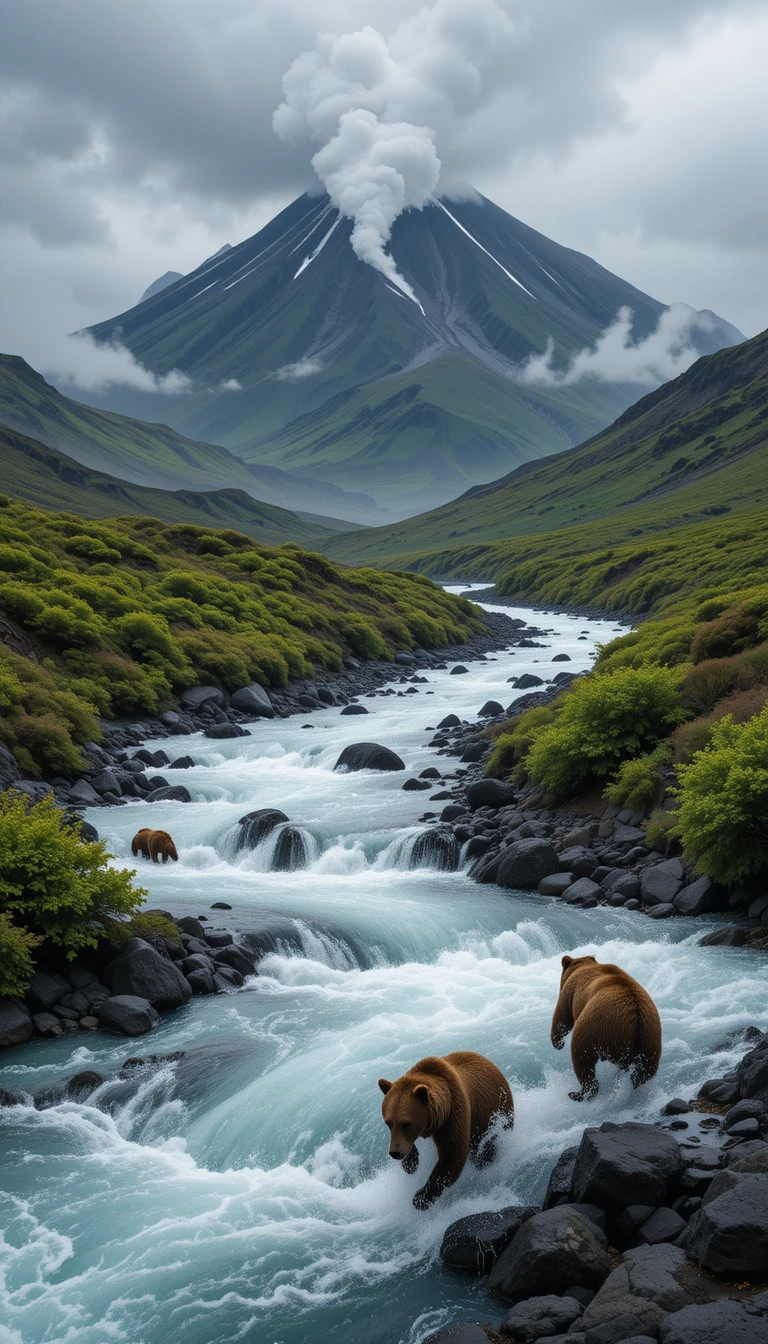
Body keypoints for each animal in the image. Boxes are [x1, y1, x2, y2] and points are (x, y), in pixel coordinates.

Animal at [378, 1051, 514, 1209]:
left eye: (406, 1123)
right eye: (388, 1122)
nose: (395, 1153)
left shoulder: (454, 1114)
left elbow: (452, 1154)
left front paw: (421, 1197)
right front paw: (410, 1164)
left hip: (497, 1111)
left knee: (491, 1141)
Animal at [551, 954, 662, 1101]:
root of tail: (636, 1022)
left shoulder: (570, 991)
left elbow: (562, 1016)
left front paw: (558, 1042)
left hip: (595, 1027)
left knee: (582, 1058)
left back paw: (579, 1093)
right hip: (651, 1041)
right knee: (643, 1073)